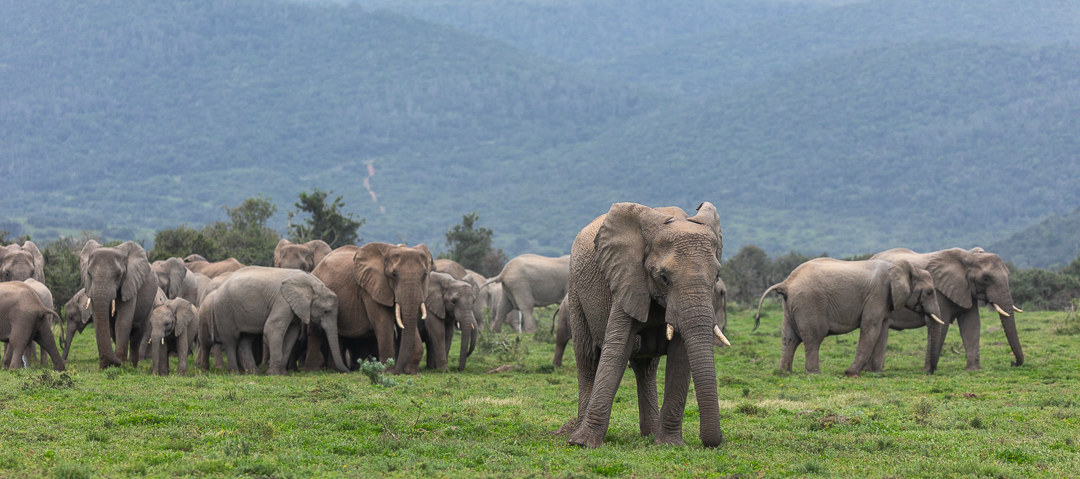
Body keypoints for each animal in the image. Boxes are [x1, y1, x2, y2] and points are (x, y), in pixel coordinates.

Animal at [203, 265, 345, 373]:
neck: (313, 284)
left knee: (246, 340)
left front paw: (282, 373)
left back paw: (254, 373)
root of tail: (216, 291)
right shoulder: (282, 301)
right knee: (231, 340)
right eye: (325, 311)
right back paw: (235, 373)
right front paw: (274, 374)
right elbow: (272, 328)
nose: (347, 371)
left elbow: (292, 334)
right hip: (224, 310)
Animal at [311, 242, 432, 373]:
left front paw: (412, 372)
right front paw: (388, 372)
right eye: (394, 274)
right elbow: (384, 322)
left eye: (424, 275)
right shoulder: (370, 290)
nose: (399, 371)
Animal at [561, 201, 730, 448]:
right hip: (574, 288)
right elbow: (617, 349)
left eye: (716, 276)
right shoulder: (628, 278)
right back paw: (576, 433)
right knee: (587, 358)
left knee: (646, 369)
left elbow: (680, 358)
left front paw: (669, 445)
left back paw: (649, 436)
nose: (711, 443)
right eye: (664, 278)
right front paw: (583, 444)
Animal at [751, 257, 946, 373]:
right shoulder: (877, 294)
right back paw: (814, 374)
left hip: (791, 305)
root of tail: (786, 282)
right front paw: (851, 373)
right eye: (929, 292)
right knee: (814, 338)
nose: (929, 372)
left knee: (789, 338)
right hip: (809, 303)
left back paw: (784, 373)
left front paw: (876, 373)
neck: (902, 266)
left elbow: (882, 331)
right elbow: (870, 329)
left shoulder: (885, 300)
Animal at [872, 249, 1023, 373]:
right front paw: (928, 370)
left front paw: (973, 370)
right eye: (985, 279)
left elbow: (971, 324)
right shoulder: (938, 290)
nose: (1012, 363)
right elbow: (942, 324)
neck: (970, 257)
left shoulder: (966, 290)